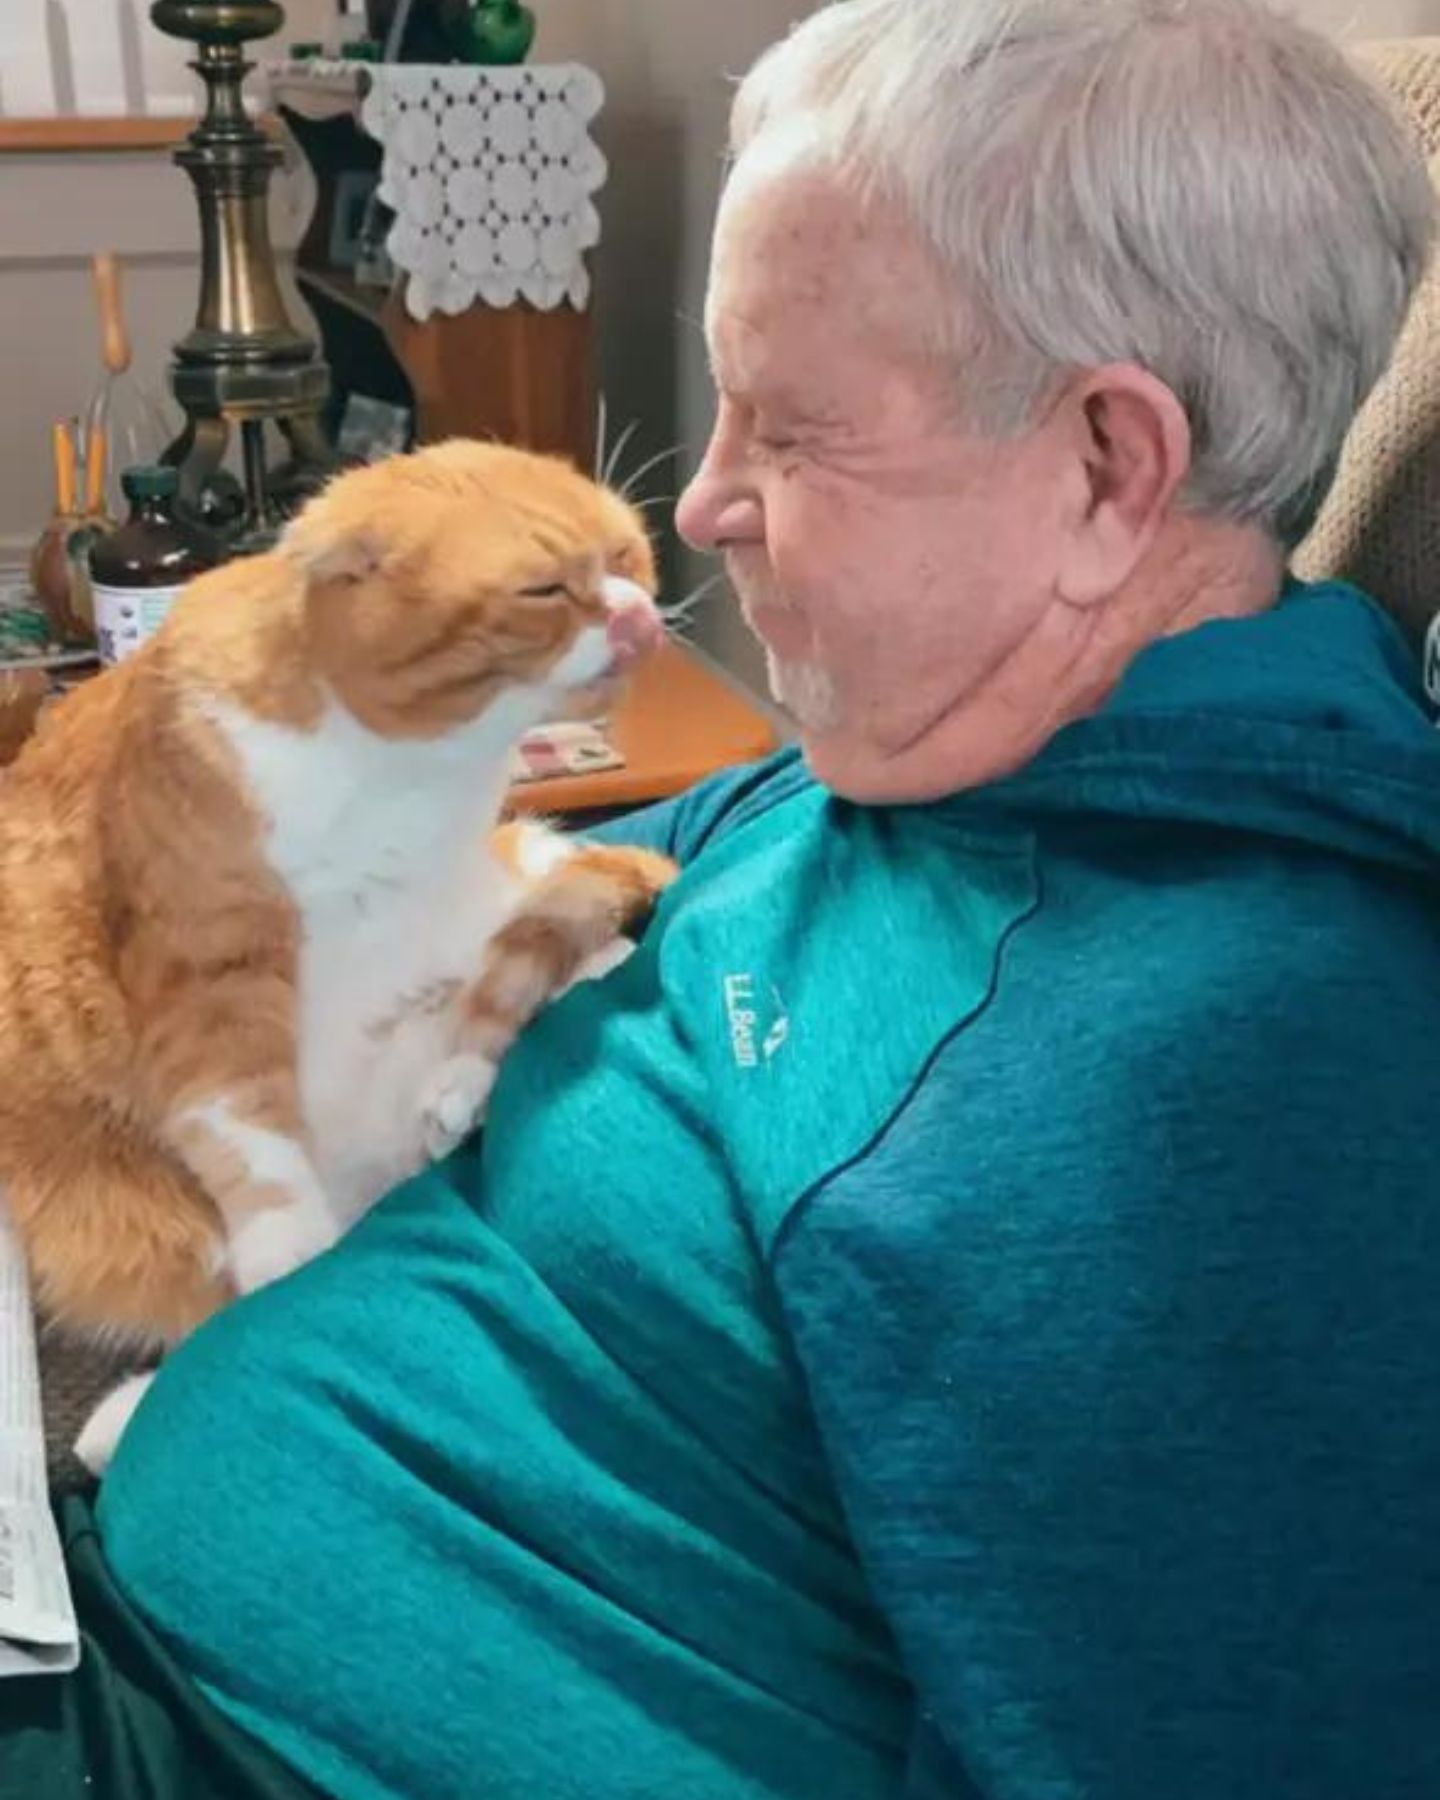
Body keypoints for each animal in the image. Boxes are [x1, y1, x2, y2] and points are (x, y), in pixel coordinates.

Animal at [0, 442, 676, 1468]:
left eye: (631, 557)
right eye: (546, 588)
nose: (639, 617)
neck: (406, 774)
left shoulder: (474, 893)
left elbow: (532, 950)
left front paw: (472, 1070)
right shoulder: (209, 971)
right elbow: (249, 1135)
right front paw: (294, 1262)